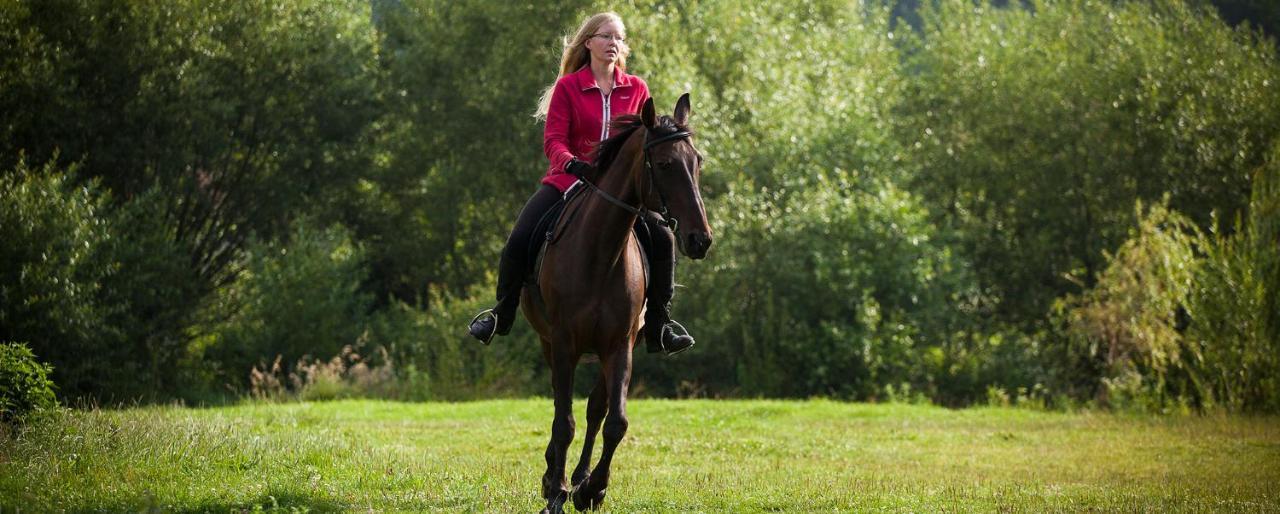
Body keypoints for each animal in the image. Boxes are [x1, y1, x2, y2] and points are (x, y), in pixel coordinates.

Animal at [522, 93, 721, 514]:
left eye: (696, 161)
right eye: (664, 164)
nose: (701, 239)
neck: (601, 251)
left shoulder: (620, 344)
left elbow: (615, 422)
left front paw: (591, 489)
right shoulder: (563, 342)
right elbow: (563, 420)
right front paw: (556, 491)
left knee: (596, 409)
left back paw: (579, 477)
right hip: (549, 341)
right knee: (561, 403)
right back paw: (553, 475)